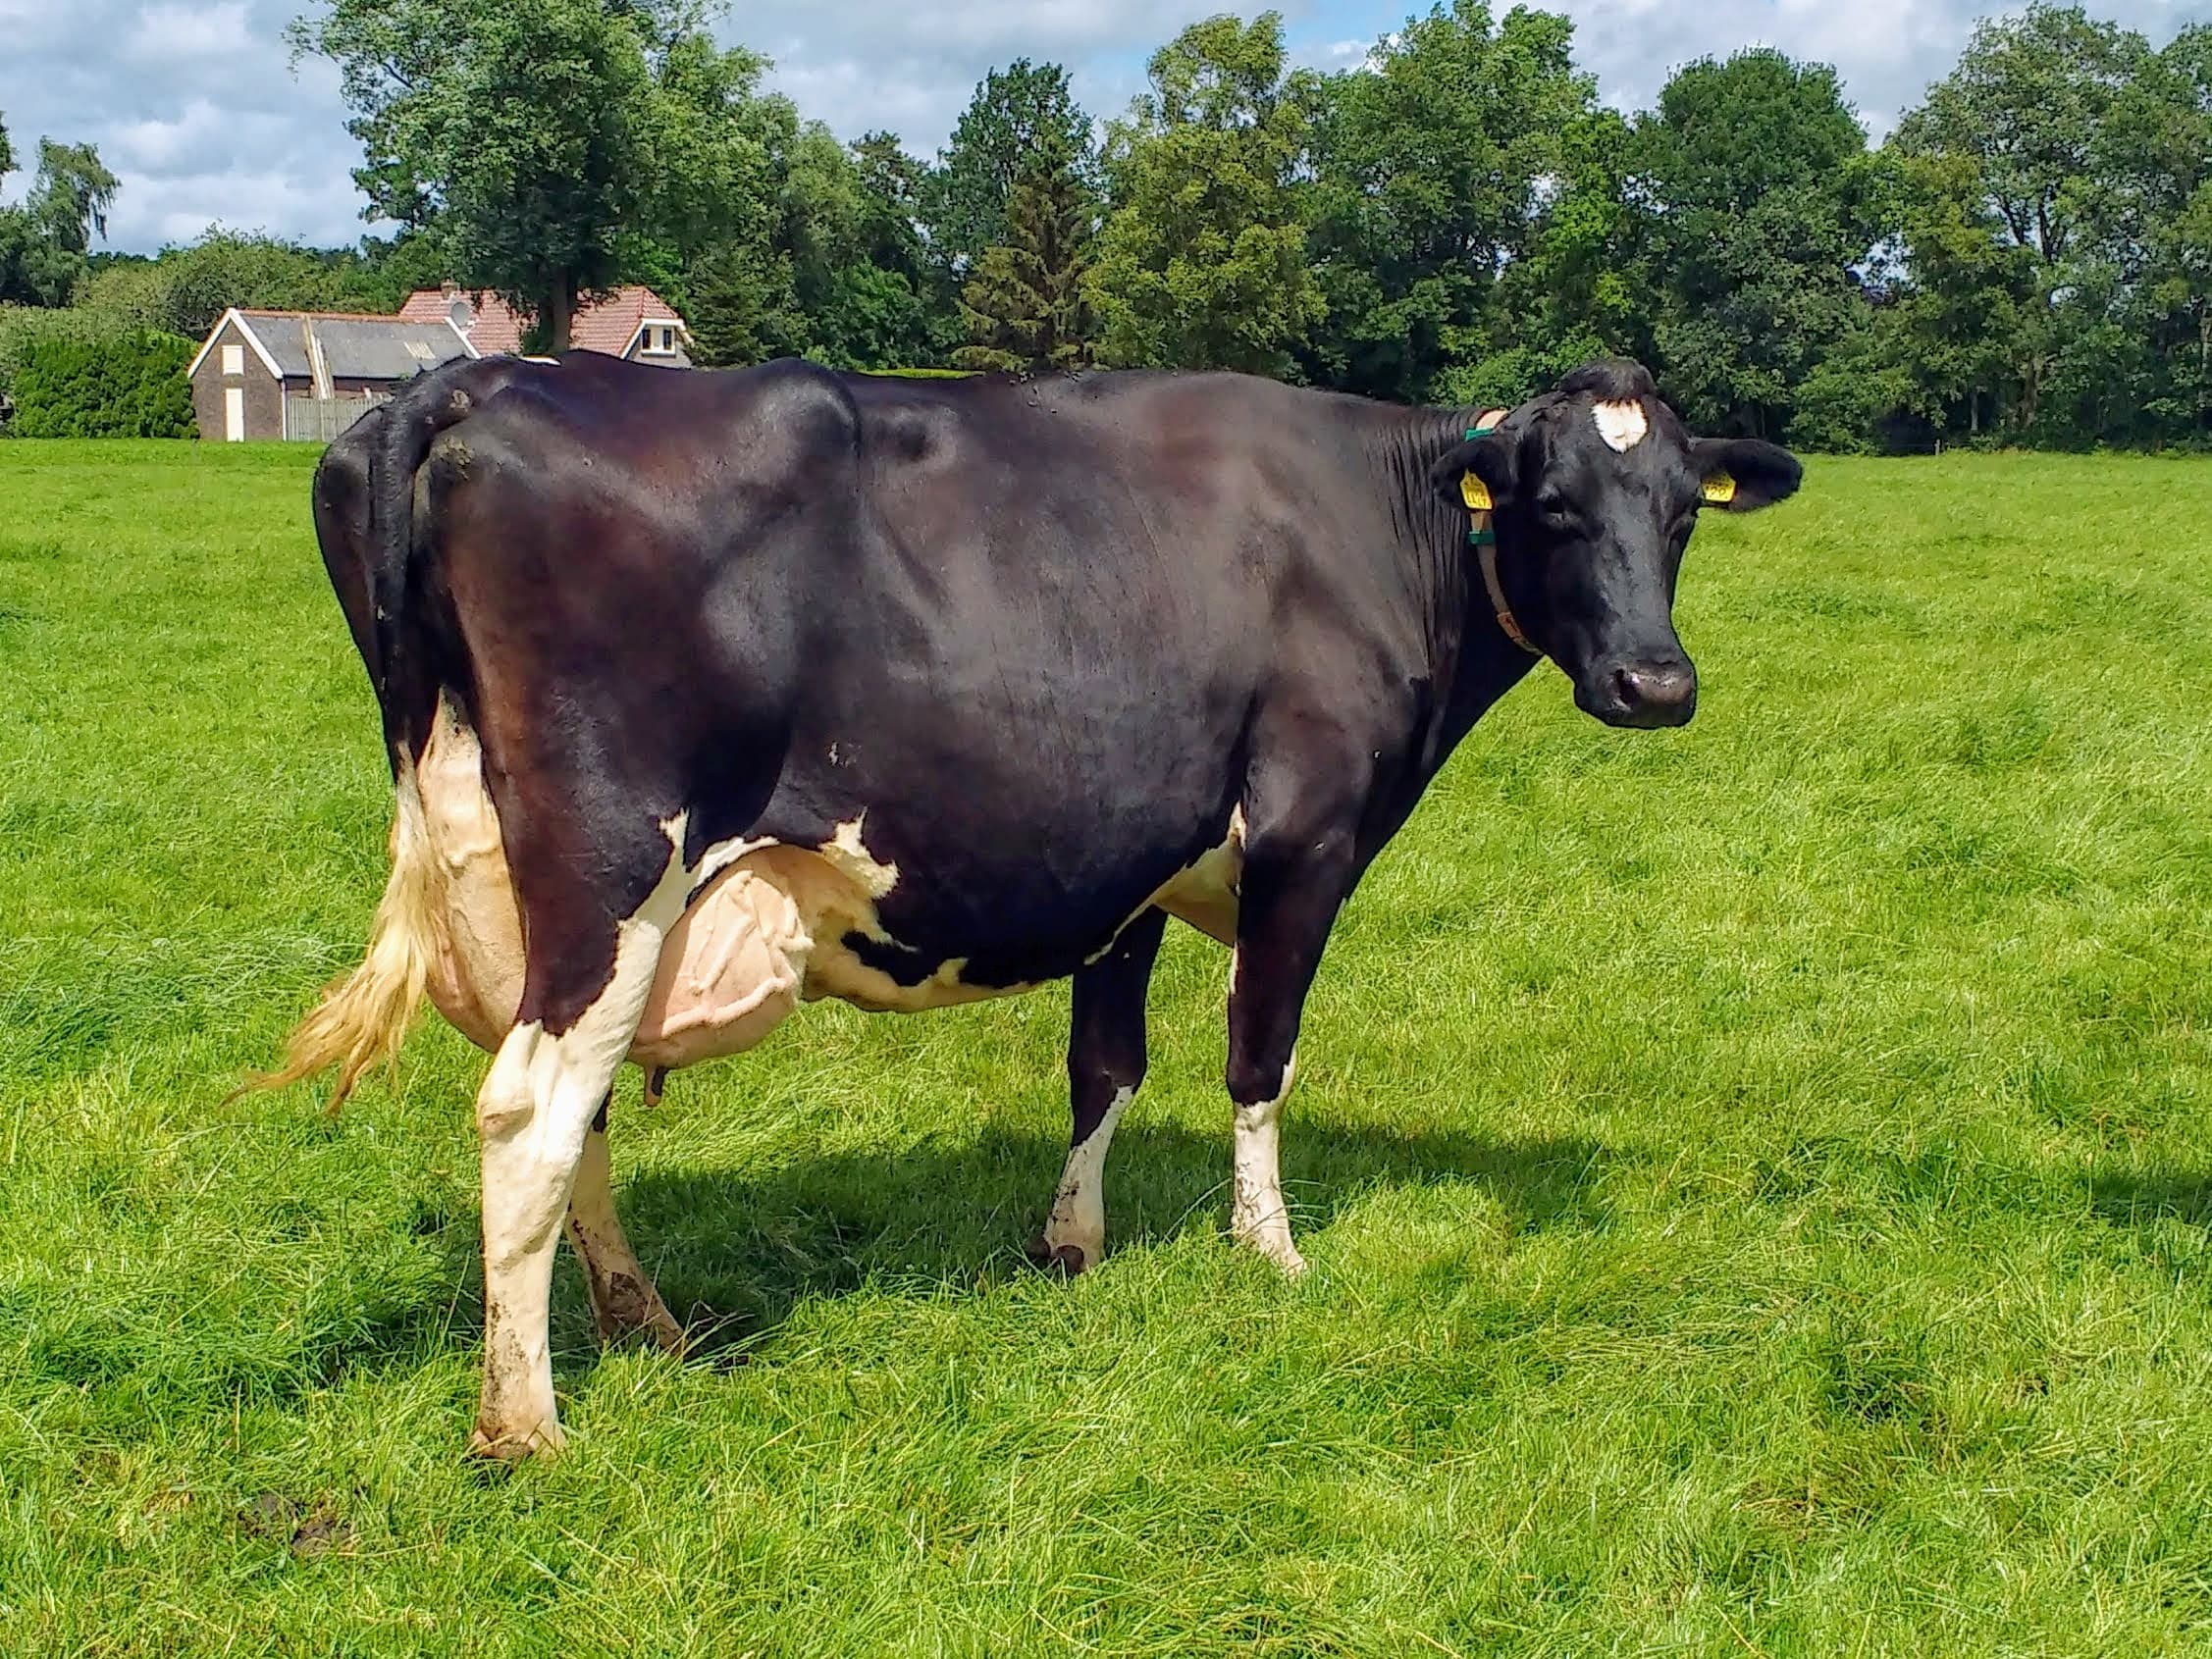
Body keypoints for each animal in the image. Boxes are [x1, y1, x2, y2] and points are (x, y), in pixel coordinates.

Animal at [257, 353, 1802, 1458]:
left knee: (566, 1105)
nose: (1656, 683)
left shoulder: (1129, 857)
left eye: (1680, 516)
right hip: (614, 865)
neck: (1373, 527)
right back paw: (527, 1421)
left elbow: (1103, 1062)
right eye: (1552, 506)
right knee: (529, 1109)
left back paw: (643, 1320)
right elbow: (1259, 1057)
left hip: (545, 894)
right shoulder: (1304, 838)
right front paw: (1270, 1250)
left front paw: (1071, 1243)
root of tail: (481, 379)